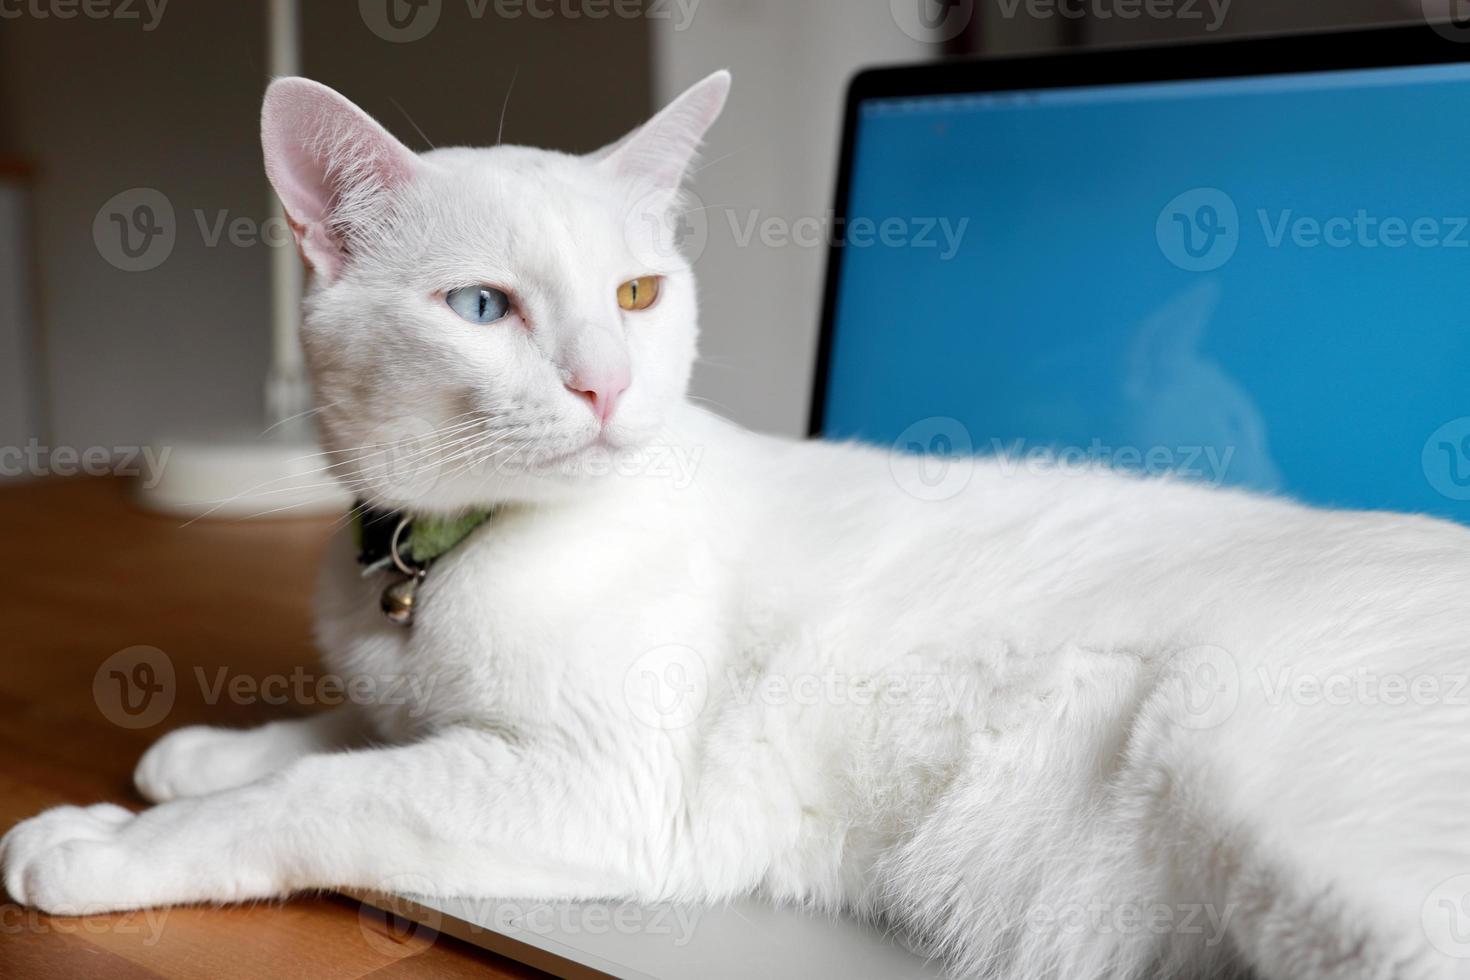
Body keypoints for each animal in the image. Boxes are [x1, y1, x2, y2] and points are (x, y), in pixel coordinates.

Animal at [2, 70, 1470, 980]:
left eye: (638, 293)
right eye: (482, 308)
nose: (604, 384)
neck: (436, 556)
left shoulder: (597, 786)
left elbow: (325, 790)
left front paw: (105, 842)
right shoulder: (433, 707)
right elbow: (345, 729)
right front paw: (203, 752)